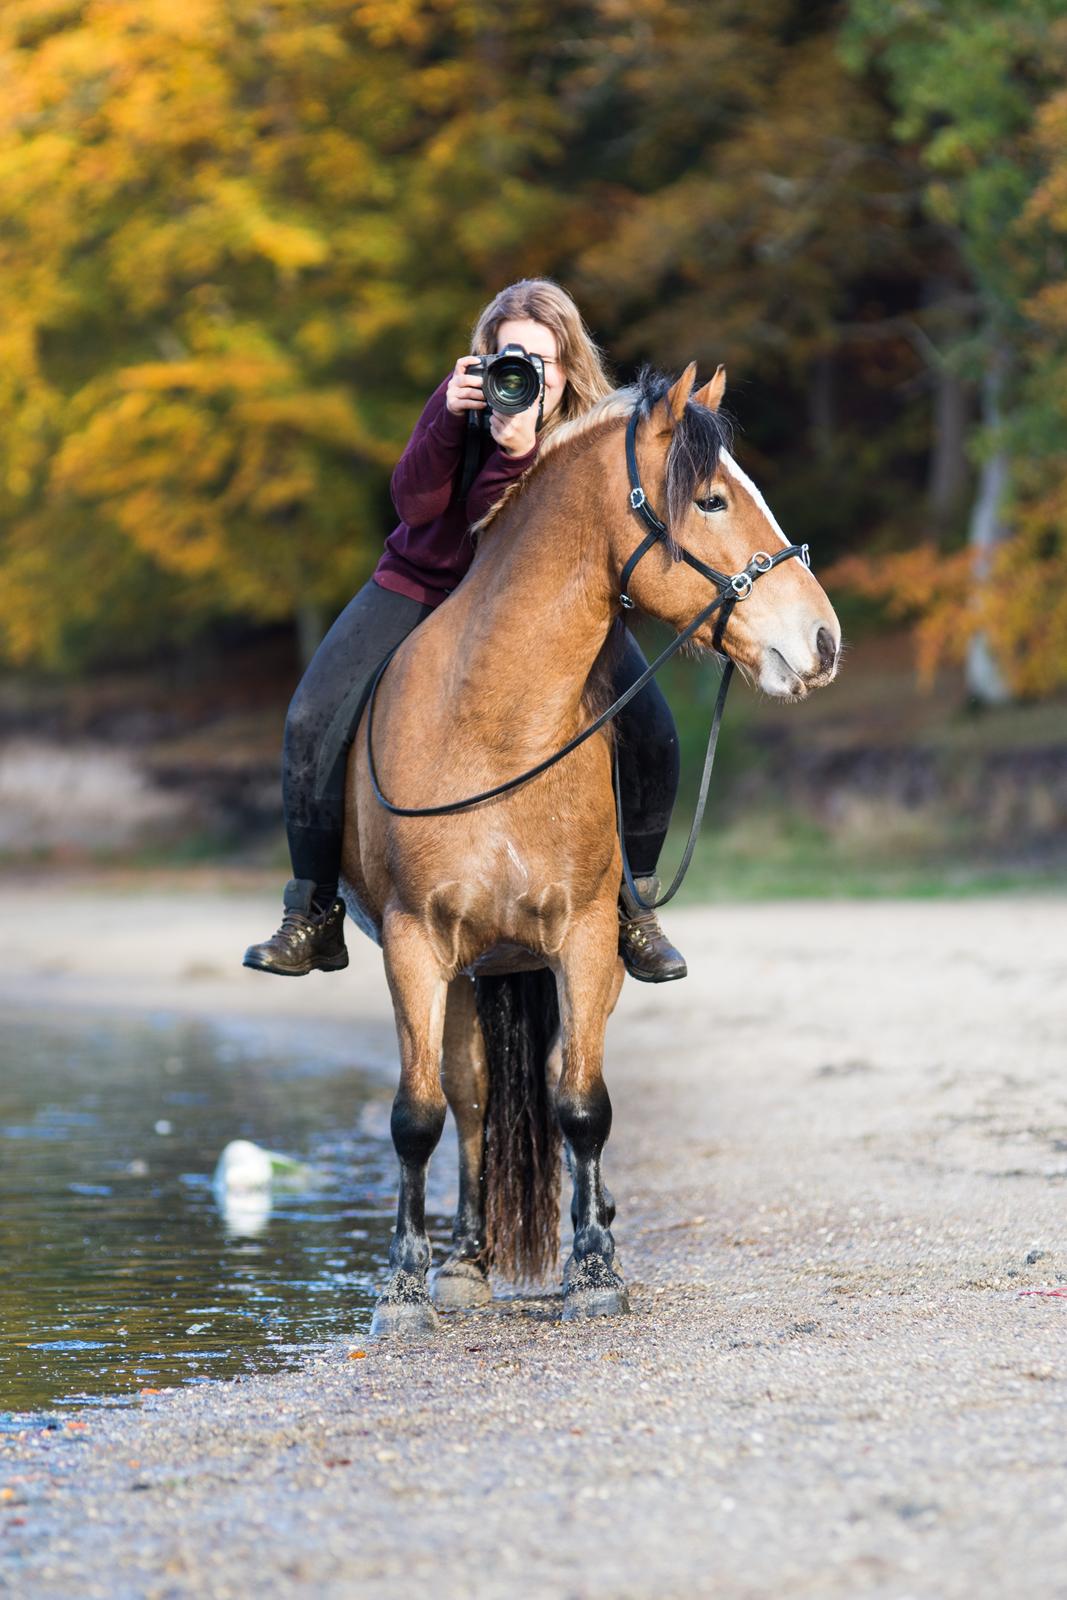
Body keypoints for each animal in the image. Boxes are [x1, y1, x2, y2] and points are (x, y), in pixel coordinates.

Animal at [342, 363, 844, 1337]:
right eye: (713, 499)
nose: (823, 641)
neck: (496, 725)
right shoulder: (415, 944)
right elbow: (418, 1114)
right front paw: (400, 1285)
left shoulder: (582, 939)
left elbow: (581, 1104)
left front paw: (596, 1267)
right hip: (468, 970)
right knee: (470, 1096)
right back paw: (462, 1260)